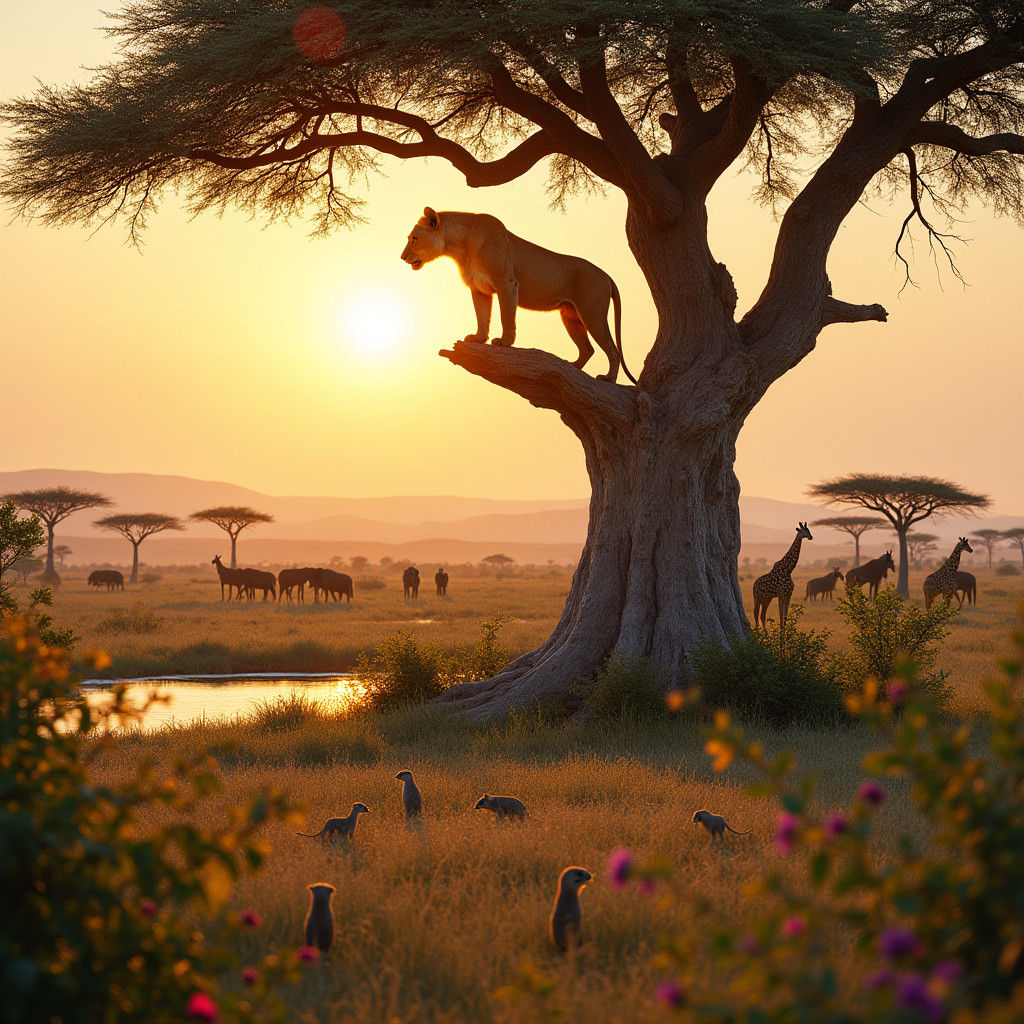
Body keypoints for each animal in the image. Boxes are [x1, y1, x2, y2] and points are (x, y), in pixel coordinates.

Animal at [400, 208, 637, 384]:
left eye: (414, 238)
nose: (402, 257)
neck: (460, 246)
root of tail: (606, 275)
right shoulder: (479, 289)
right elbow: (482, 316)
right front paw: (478, 338)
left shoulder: (506, 283)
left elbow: (506, 315)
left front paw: (504, 342)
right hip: (570, 316)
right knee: (587, 349)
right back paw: (573, 367)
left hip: (592, 314)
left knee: (612, 350)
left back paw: (608, 378)